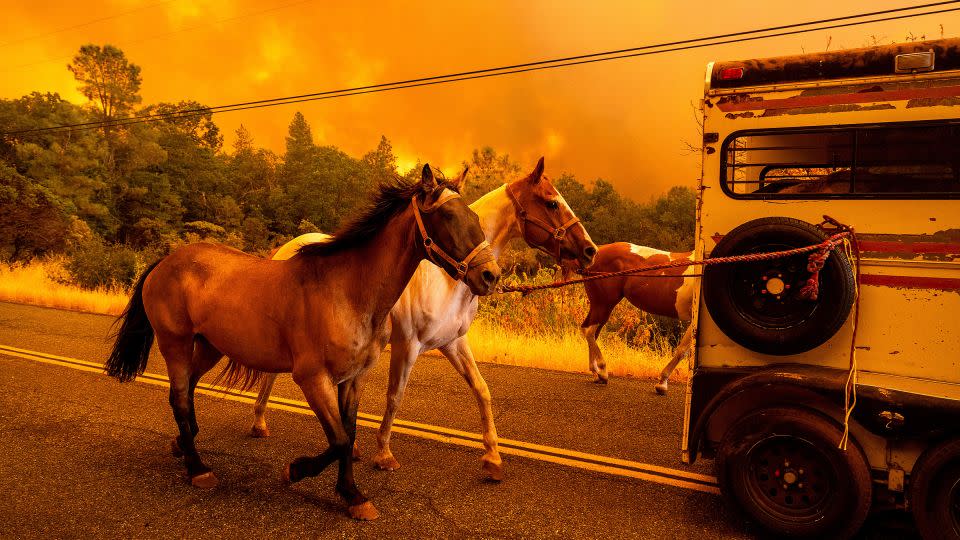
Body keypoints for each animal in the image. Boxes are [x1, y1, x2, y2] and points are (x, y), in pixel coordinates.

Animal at [103, 165, 502, 520]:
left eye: (474, 217)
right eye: (448, 216)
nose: (491, 276)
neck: (347, 290)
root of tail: (165, 261)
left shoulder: (352, 379)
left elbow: (347, 436)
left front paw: (351, 495)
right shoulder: (312, 378)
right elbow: (338, 439)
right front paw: (300, 473)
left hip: (209, 347)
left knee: (186, 391)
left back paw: (182, 446)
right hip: (176, 343)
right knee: (181, 399)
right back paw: (198, 468)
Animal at [249, 158, 592, 478]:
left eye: (475, 220)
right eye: (551, 202)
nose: (589, 250)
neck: (448, 281)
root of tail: (286, 249)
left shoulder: (454, 343)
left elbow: (481, 389)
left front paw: (493, 459)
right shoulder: (407, 346)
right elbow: (394, 397)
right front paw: (384, 454)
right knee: (270, 375)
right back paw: (260, 421)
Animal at [572, 244, 692, 392]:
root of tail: (597, 250)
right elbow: (682, 351)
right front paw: (662, 383)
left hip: (598, 304)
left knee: (589, 331)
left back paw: (596, 373)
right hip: (604, 304)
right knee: (590, 332)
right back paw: (602, 371)